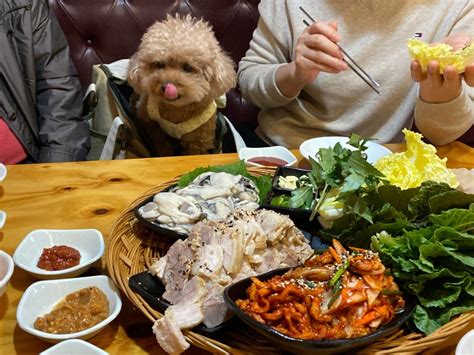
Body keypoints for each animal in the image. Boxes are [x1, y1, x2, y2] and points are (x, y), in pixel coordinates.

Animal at [128, 14, 237, 156]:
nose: (166, 86)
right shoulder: (150, 122)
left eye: (187, 68)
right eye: (159, 65)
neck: (176, 109)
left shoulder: (198, 140)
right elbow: (160, 144)